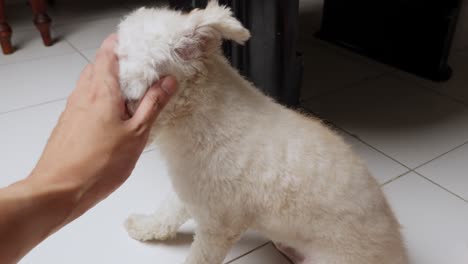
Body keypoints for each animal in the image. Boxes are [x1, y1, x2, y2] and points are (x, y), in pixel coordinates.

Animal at [115, 1, 408, 262]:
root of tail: (398, 255)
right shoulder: (193, 192)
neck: (198, 114)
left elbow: (199, 256)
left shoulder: (218, 226)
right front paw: (145, 227)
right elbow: (167, 213)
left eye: (125, 59)